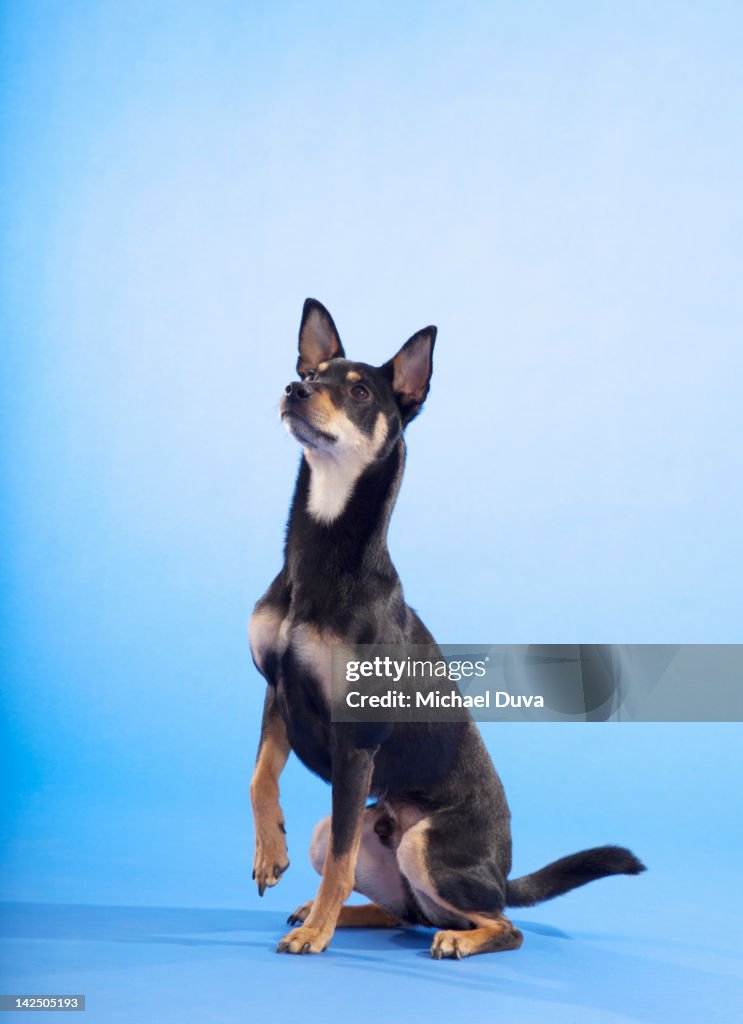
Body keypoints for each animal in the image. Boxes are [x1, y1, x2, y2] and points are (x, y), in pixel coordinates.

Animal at [250, 299, 646, 954]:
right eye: (313, 372)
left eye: (360, 391)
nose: (293, 389)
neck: (322, 551)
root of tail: (502, 874)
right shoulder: (276, 690)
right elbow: (261, 780)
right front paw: (269, 854)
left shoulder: (356, 743)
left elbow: (340, 860)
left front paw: (314, 936)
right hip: (357, 828)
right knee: (405, 910)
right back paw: (334, 913)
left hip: (423, 842)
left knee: (500, 924)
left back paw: (438, 936)